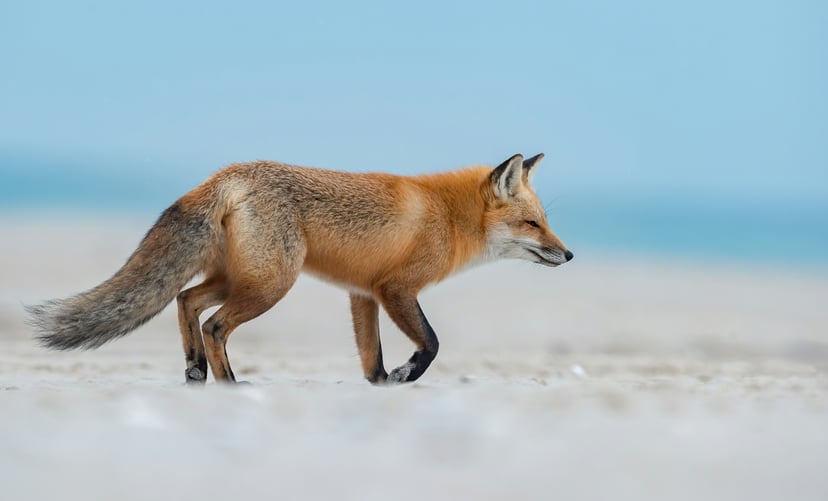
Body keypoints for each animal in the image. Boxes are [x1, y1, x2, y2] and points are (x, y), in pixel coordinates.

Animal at [28, 153, 573, 385]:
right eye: (532, 224)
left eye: (546, 222)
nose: (568, 255)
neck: (448, 216)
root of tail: (226, 173)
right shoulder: (396, 288)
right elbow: (433, 343)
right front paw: (407, 373)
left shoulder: (363, 293)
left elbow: (371, 359)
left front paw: (382, 383)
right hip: (271, 284)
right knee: (214, 324)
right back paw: (229, 383)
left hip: (239, 277)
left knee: (185, 300)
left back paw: (195, 370)